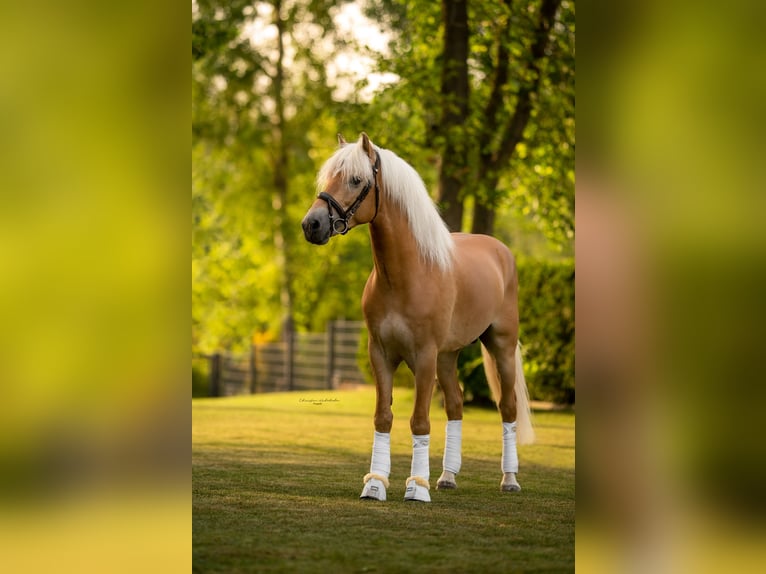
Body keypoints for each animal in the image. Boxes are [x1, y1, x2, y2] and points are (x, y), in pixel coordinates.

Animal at [300, 133, 536, 502]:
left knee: (508, 407)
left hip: (501, 346)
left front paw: (416, 488)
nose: (312, 225)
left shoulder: (424, 356)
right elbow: (383, 418)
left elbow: (419, 421)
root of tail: (501, 252)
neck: (407, 274)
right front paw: (375, 484)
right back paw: (447, 477)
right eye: (327, 179)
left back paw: (509, 479)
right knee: (455, 404)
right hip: (448, 356)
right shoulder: (381, 354)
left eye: (356, 180)